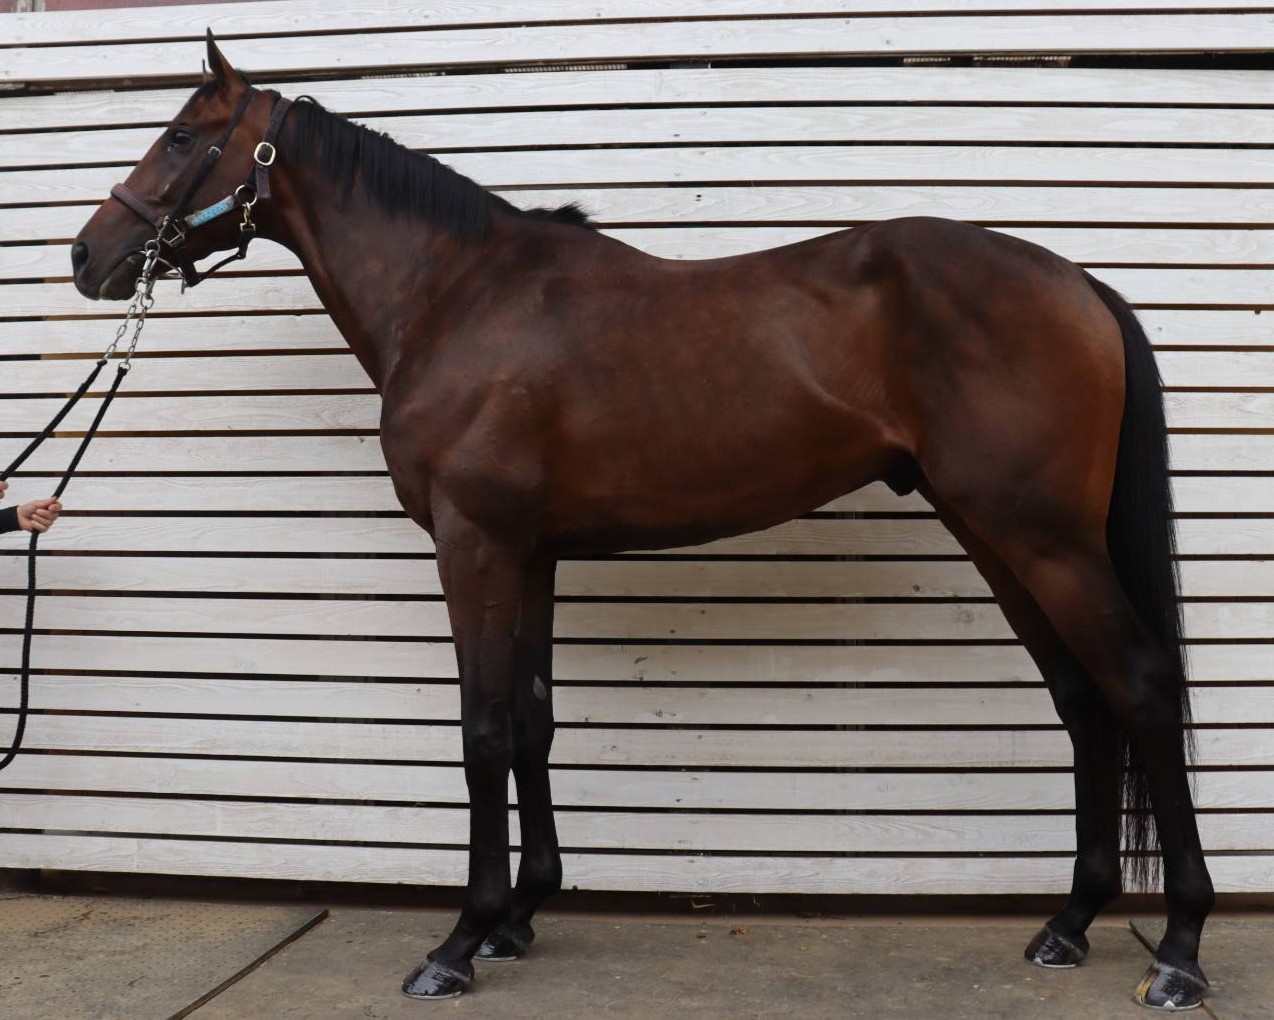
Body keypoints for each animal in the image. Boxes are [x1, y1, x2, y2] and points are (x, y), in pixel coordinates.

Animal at [70, 35, 1214, 1010]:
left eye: (181, 137)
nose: (89, 256)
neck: (453, 297)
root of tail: (1075, 282)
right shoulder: (527, 554)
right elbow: (531, 720)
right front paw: (518, 919)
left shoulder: (473, 545)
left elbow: (483, 729)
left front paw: (458, 941)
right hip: (1001, 537)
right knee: (1084, 702)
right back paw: (1069, 923)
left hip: (1043, 540)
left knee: (1141, 687)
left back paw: (1179, 952)